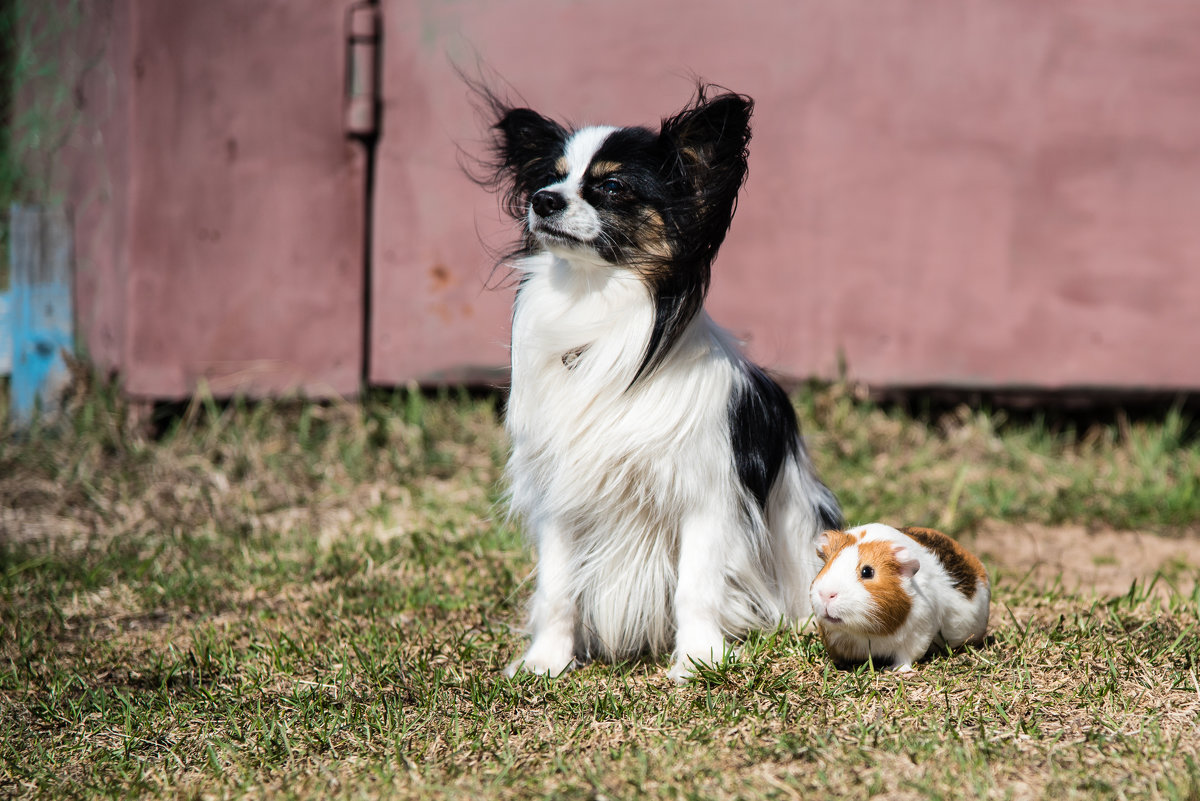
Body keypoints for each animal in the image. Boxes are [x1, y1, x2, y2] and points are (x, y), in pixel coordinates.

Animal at [472, 82, 840, 681]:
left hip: (798, 519)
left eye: (612, 186)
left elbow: (695, 587)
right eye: (548, 178)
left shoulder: (705, 499)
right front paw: (545, 664)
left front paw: (697, 664)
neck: (598, 308)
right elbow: (557, 588)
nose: (543, 201)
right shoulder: (562, 498)